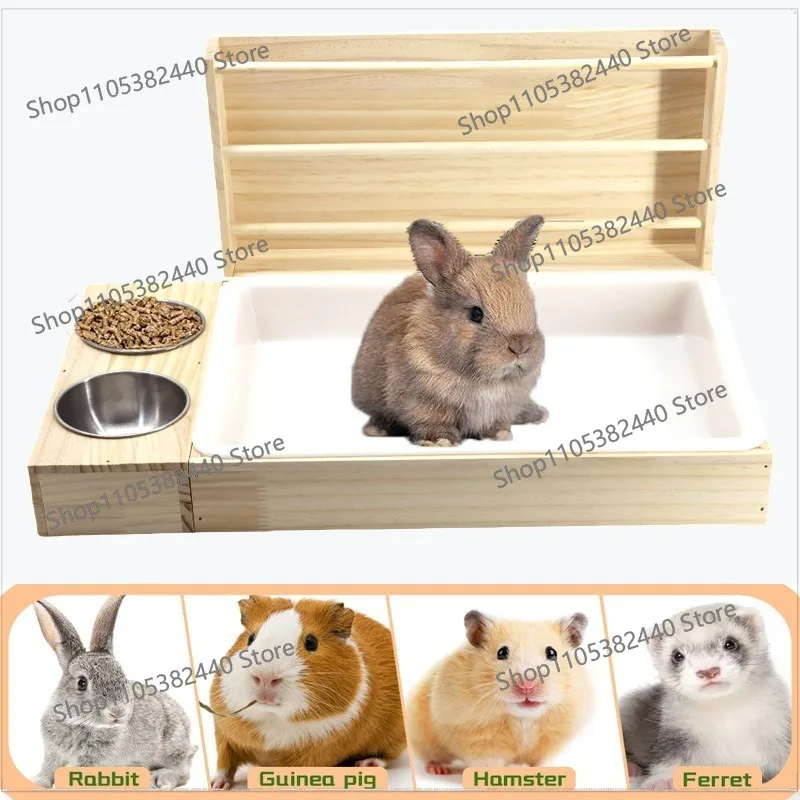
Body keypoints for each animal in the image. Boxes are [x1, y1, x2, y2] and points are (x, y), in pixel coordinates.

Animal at [208, 596, 406, 789]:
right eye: (250, 638)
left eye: (311, 643)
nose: (265, 677)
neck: (272, 719)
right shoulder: (224, 735)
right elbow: (224, 763)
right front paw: (217, 786)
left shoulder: (314, 754)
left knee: (387, 756)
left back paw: (365, 764)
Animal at [351, 217, 548, 446]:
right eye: (475, 314)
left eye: (531, 306)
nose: (520, 348)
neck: (485, 381)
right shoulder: (423, 402)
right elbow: (432, 420)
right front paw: (440, 440)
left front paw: (499, 435)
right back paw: (377, 429)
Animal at [407, 610, 592, 773]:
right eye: (502, 652)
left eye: (552, 653)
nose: (527, 685)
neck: (523, 718)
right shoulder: (478, 739)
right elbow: (488, 762)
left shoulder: (552, 740)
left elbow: (541, 761)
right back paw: (438, 769)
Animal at [620, 603, 791, 789]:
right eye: (677, 655)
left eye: (730, 643)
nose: (708, 670)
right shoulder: (676, 734)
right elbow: (670, 757)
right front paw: (662, 782)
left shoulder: (779, 730)